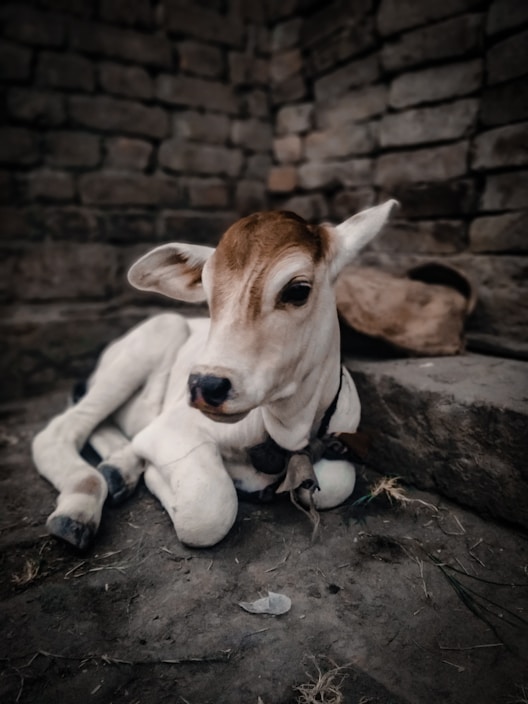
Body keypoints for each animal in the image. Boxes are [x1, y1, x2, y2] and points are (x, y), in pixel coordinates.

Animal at [32, 200, 397, 550]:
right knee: (60, 429)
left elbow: (337, 483)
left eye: (297, 290)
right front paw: (156, 476)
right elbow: (209, 509)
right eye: (208, 294)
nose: (205, 385)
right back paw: (78, 509)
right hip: (157, 335)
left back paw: (119, 470)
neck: (290, 428)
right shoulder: (173, 429)